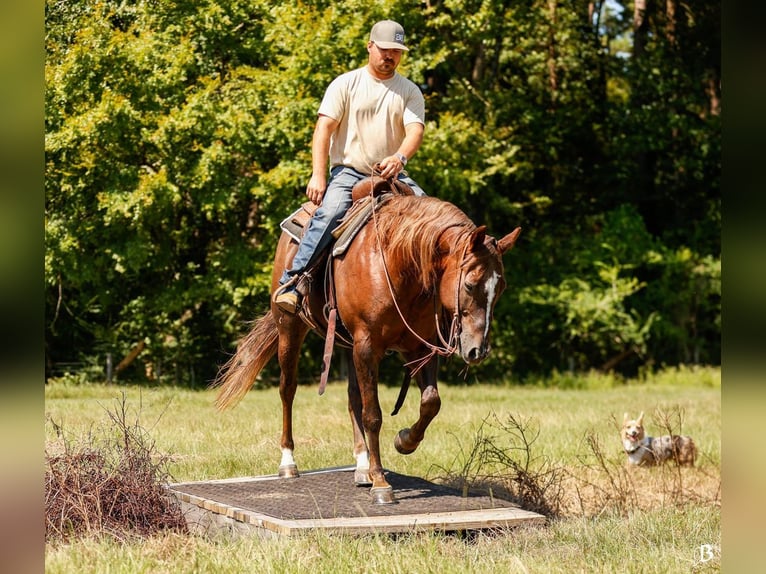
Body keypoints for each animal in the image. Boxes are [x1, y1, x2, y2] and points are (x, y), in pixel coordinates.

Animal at [214, 192, 521, 504]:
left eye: (502, 288)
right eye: (470, 285)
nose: (478, 350)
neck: (401, 264)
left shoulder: (419, 349)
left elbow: (430, 403)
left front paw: (405, 441)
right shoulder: (367, 346)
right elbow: (373, 415)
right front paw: (381, 483)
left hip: (347, 344)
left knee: (353, 398)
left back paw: (362, 466)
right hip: (290, 328)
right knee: (288, 389)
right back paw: (289, 462)